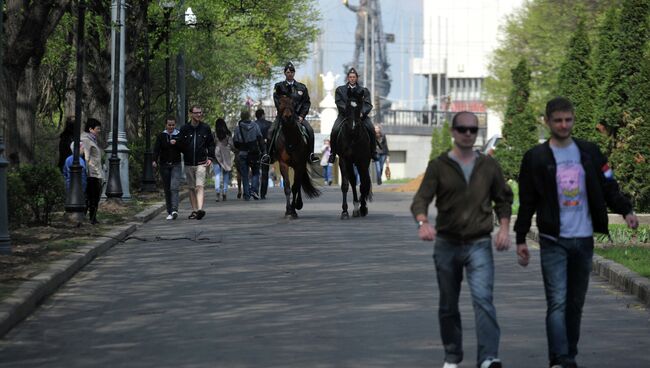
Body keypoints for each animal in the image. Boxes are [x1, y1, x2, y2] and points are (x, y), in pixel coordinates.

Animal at [334, 87, 370, 218]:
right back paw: (355, 207)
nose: (352, 126)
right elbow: (345, 185)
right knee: (353, 181)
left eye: (359, 106)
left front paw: (363, 207)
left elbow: (364, 183)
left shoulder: (363, 161)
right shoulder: (344, 160)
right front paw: (344, 211)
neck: (353, 137)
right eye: (348, 107)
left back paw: (361, 207)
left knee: (363, 181)